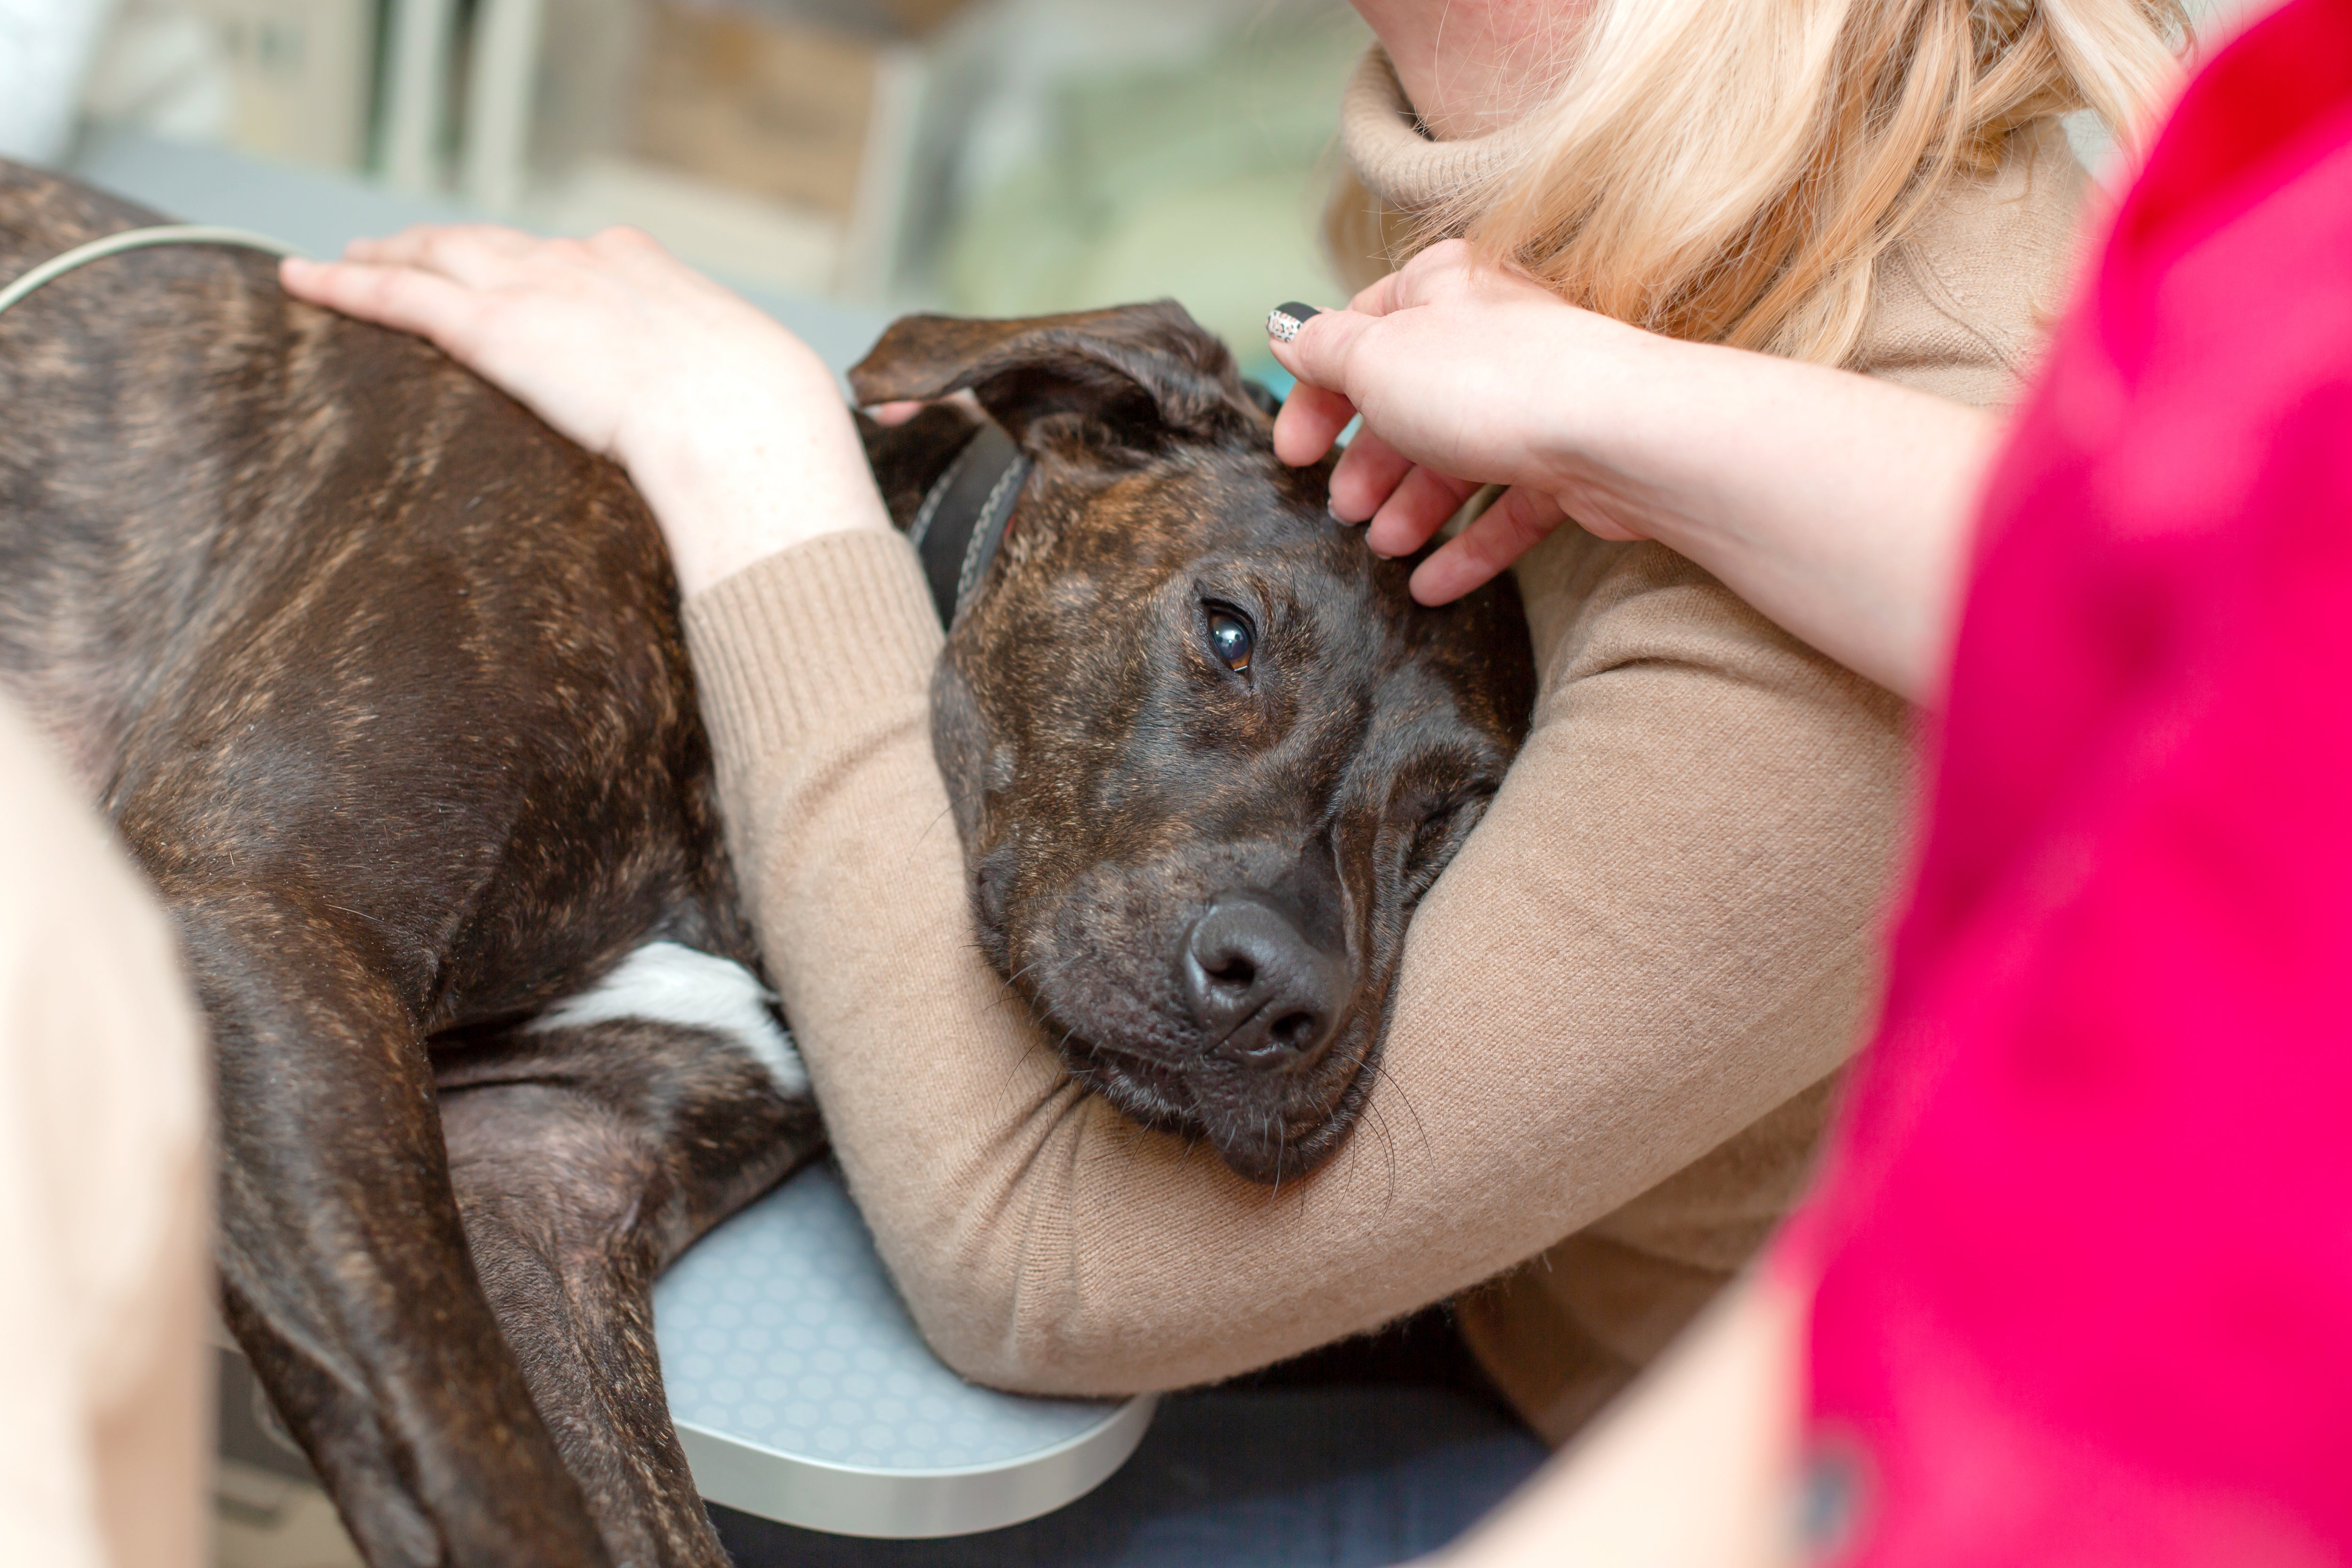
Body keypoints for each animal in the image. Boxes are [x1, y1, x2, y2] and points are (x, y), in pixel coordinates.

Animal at [0, 165, 1533, 1560]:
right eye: (1227, 630)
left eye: (1454, 816)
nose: (1284, 994)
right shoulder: (260, 917)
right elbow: (487, 1468)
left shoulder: (537, 1183)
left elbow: (625, 1510)